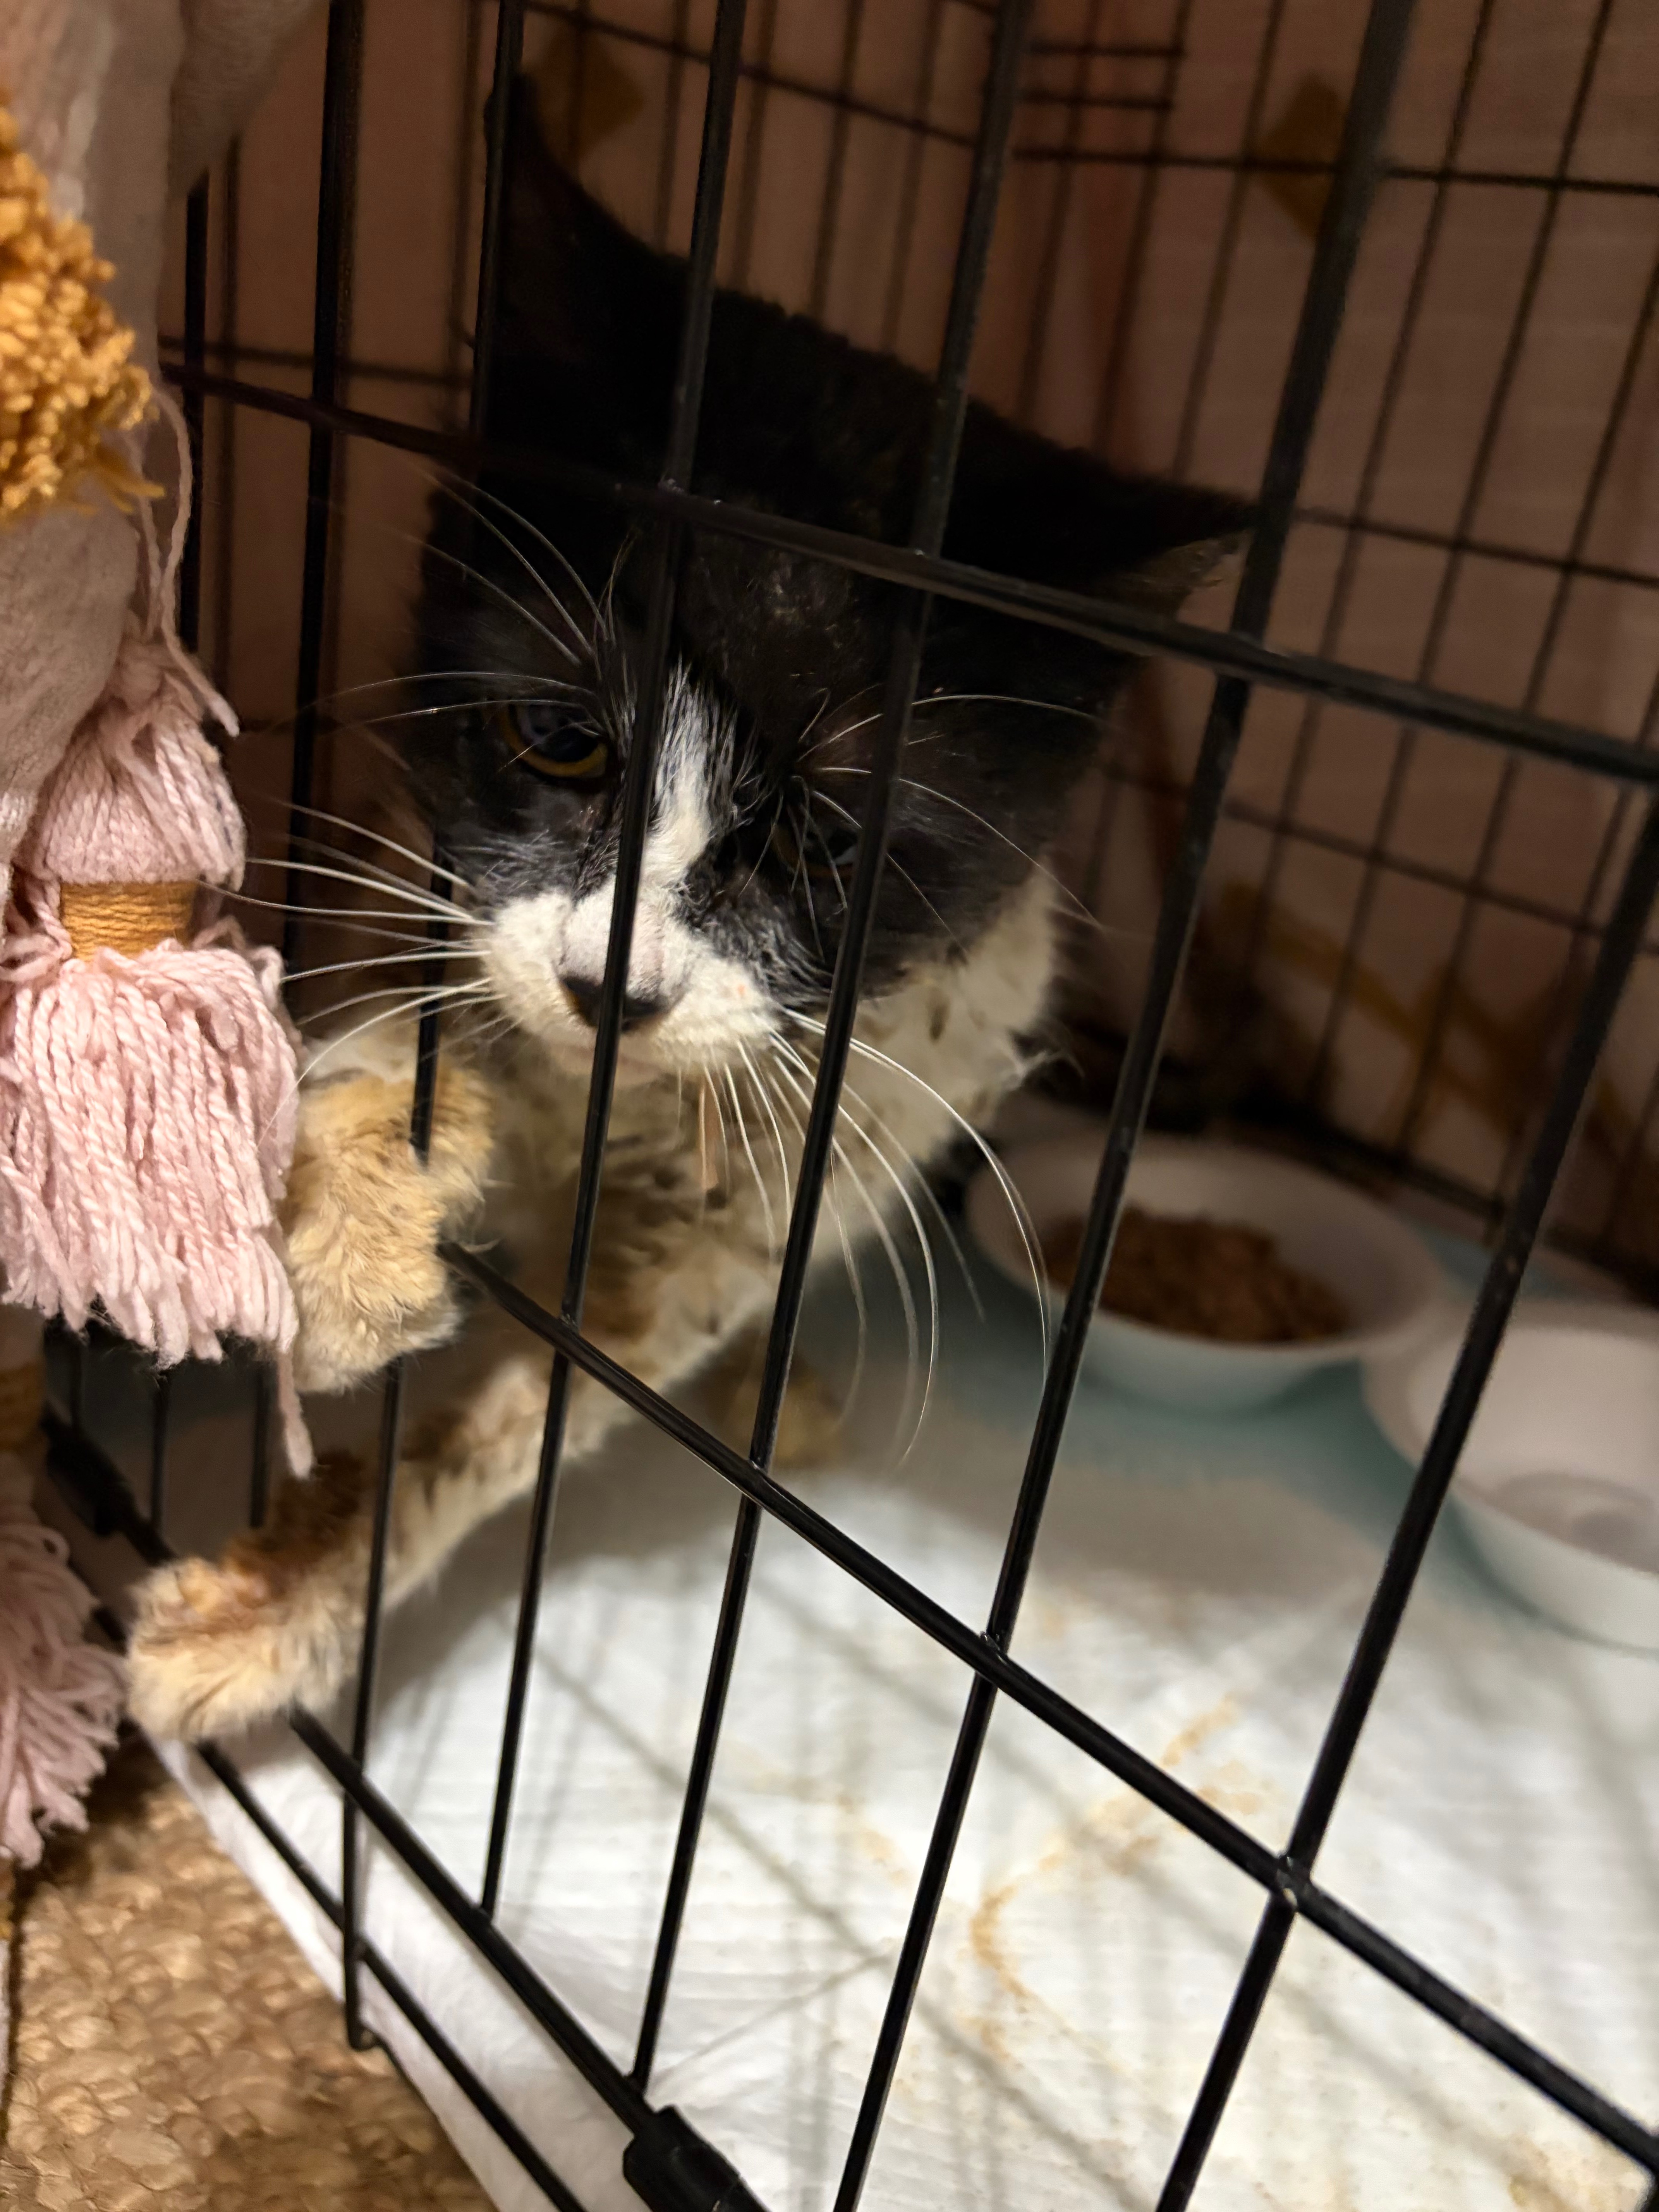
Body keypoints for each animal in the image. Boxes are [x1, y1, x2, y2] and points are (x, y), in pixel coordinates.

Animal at [125, 79, 1248, 1742]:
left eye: (834, 845)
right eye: (560, 737)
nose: (617, 989)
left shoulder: (766, 1204)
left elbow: (527, 1411)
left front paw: (276, 1612)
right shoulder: (433, 872)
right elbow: (418, 1019)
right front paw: (347, 1246)